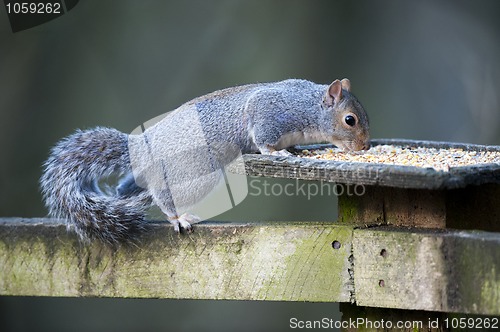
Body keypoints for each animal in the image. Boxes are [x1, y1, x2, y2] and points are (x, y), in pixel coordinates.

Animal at [40, 79, 368, 243]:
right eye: (349, 120)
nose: (364, 146)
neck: (308, 105)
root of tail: (141, 146)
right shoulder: (269, 112)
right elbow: (263, 138)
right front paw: (275, 152)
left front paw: (295, 150)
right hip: (191, 173)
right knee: (162, 195)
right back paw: (177, 217)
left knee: (129, 189)